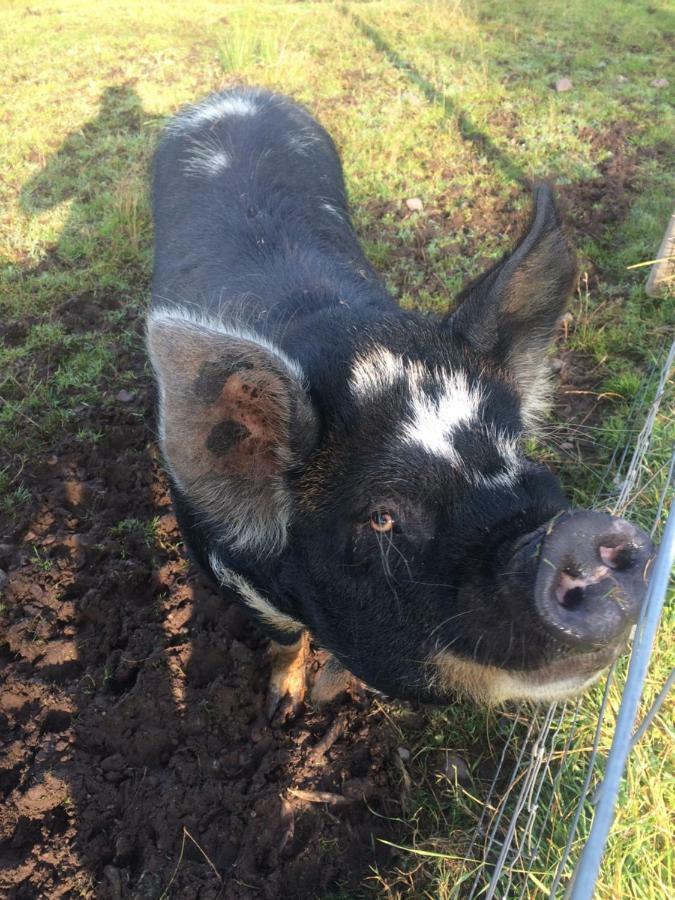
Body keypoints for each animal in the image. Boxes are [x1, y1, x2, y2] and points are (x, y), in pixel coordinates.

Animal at [147, 89, 656, 716]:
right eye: (382, 516)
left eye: (520, 457)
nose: (577, 531)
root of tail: (236, 93)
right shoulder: (230, 574)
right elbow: (284, 639)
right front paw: (282, 709)